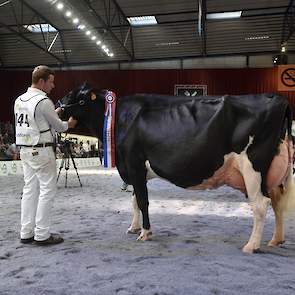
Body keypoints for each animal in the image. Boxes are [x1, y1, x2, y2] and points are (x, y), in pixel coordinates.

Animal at [59, 83, 295, 254]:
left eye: (73, 95)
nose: (58, 107)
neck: (118, 118)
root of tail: (278, 98)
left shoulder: (134, 164)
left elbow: (143, 202)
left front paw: (145, 233)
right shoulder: (135, 171)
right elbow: (134, 201)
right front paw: (133, 227)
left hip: (252, 167)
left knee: (260, 205)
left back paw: (251, 246)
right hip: (271, 174)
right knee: (276, 203)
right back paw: (276, 240)